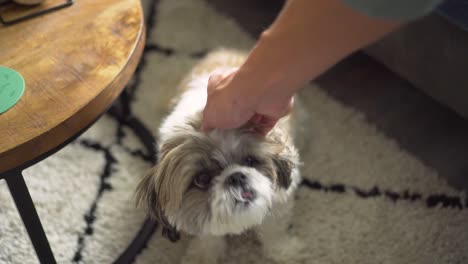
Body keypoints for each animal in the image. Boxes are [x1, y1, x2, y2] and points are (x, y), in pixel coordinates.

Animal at [135, 50, 304, 264]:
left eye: (250, 161)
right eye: (202, 180)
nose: (237, 176)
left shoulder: (281, 199)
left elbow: (274, 229)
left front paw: (284, 250)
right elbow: (208, 237)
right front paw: (201, 256)